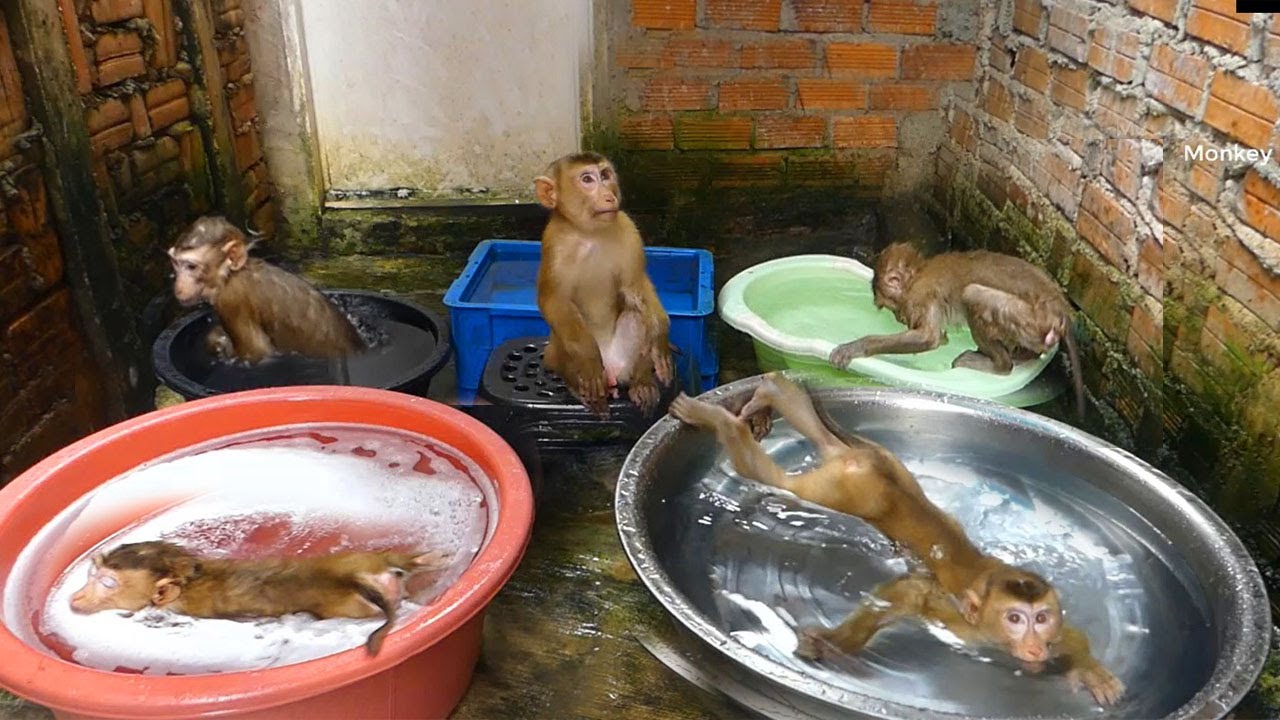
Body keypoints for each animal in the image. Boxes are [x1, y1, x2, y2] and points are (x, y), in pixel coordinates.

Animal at [69, 541, 450, 655]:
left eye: (107, 583)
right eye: (92, 575)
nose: (76, 596)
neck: (190, 577)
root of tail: (353, 578)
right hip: (362, 560)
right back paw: (422, 561)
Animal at [169, 216, 363, 363]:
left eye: (191, 267)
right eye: (176, 264)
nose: (178, 286)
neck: (231, 275)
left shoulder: (231, 300)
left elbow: (258, 353)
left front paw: (218, 341)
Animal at [533, 152, 675, 416]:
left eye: (605, 175)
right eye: (587, 179)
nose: (609, 196)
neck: (589, 234)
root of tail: (611, 371)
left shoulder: (628, 229)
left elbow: (635, 285)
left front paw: (660, 336)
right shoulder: (554, 244)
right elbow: (554, 301)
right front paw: (588, 361)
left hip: (623, 358)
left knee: (637, 314)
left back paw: (642, 381)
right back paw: (580, 386)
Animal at [668, 373, 1124, 706]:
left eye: (1041, 618)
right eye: (1015, 619)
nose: (1033, 643)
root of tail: (863, 464)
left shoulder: (1055, 631)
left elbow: (1074, 639)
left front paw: (1090, 671)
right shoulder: (950, 615)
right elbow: (904, 594)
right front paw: (832, 645)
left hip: (880, 464)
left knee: (824, 441)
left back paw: (770, 391)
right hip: (845, 489)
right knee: (774, 479)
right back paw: (721, 419)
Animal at [829, 243, 1085, 420]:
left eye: (887, 306)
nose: (899, 318)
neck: (918, 274)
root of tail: (1060, 310)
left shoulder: (921, 295)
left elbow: (929, 338)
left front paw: (854, 347)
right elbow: (938, 338)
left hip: (1028, 320)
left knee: (973, 294)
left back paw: (998, 364)